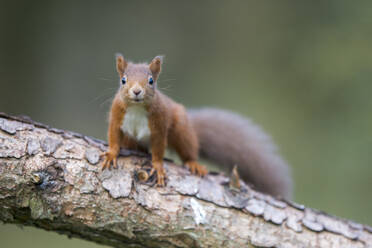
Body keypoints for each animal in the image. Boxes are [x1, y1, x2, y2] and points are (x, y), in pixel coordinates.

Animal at [102, 54, 294, 200]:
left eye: (150, 81)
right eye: (123, 80)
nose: (136, 91)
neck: (136, 108)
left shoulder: (160, 124)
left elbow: (158, 149)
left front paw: (158, 167)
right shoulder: (116, 116)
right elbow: (113, 136)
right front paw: (111, 154)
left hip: (181, 129)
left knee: (188, 150)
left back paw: (193, 164)